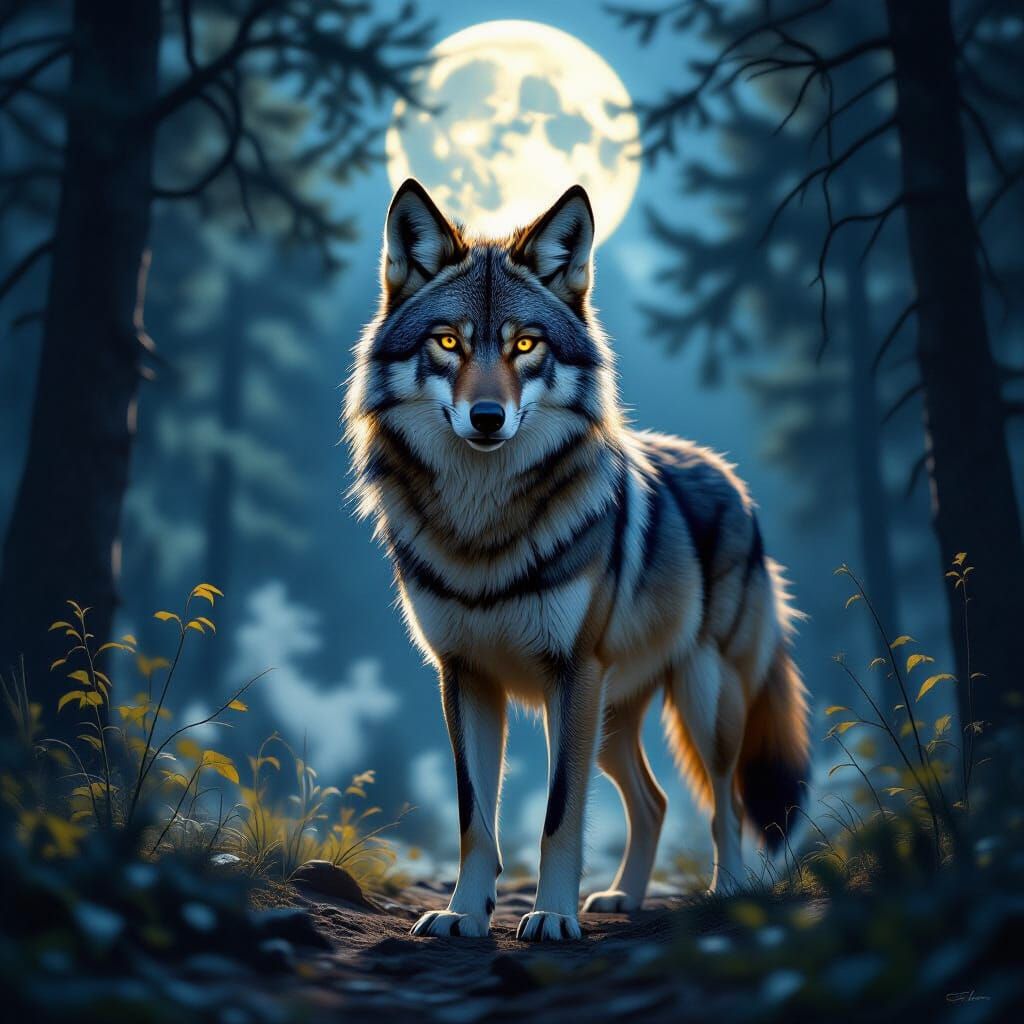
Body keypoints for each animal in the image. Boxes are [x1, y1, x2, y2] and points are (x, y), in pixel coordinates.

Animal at [344, 179, 810, 943]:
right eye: (448, 341)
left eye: (525, 345)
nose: (487, 418)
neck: (484, 528)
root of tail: (728, 475)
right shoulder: (465, 675)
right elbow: (475, 816)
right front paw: (462, 913)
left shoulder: (571, 673)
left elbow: (560, 813)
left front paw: (552, 916)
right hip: (612, 719)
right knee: (653, 801)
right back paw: (624, 897)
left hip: (698, 698)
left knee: (726, 802)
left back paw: (727, 890)